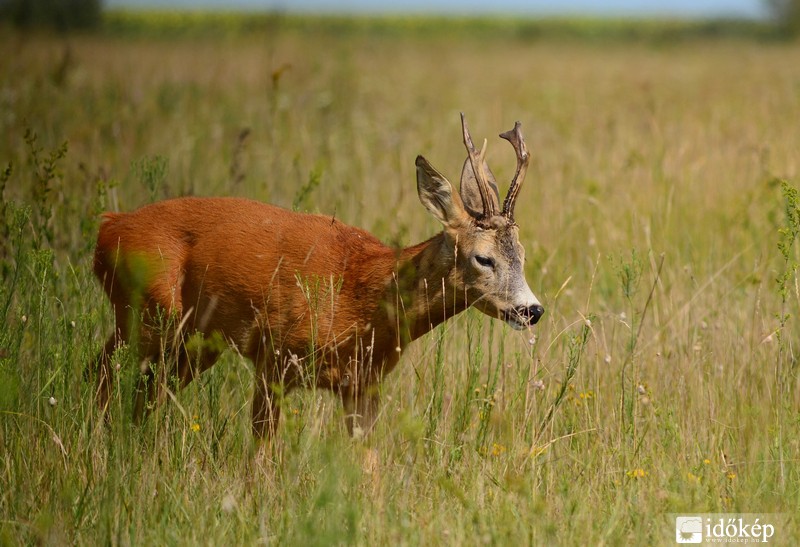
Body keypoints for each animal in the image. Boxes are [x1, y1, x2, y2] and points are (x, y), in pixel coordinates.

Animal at [92, 113, 544, 438]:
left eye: (522, 255)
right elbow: (260, 455)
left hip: (195, 342)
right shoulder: (274, 358)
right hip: (147, 313)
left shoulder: (363, 385)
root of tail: (108, 226)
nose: (532, 309)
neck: (363, 298)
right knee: (104, 371)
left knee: (144, 392)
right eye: (484, 258)